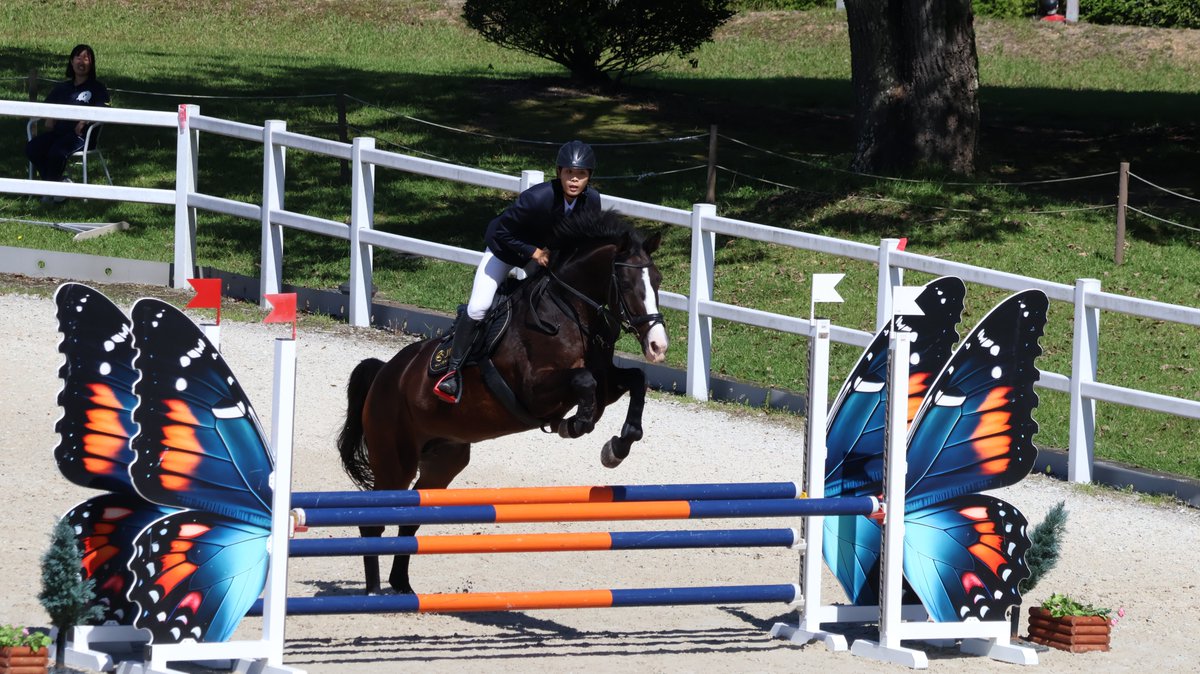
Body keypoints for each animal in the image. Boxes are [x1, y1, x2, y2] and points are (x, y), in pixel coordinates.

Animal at [336, 209, 669, 595]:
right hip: (394, 459)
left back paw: (402, 586)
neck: (568, 312)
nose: (658, 347)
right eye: (628, 285)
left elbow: (635, 380)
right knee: (373, 522)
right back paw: (375, 590)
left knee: (411, 517)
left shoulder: (606, 381)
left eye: (657, 281)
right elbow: (583, 383)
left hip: (444, 460)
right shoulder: (533, 389)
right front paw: (575, 424)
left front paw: (617, 447)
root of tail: (383, 374)